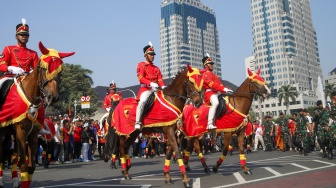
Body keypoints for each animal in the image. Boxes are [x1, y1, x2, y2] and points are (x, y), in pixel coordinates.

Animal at [0, 41, 74, 188]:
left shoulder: (32, 134)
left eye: (60, 71)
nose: (52, 97)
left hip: (10, 134)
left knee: (13, 157)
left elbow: (30, 166)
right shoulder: (21, 131)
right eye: (44, 69)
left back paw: (15, 180)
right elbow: (23, 164)